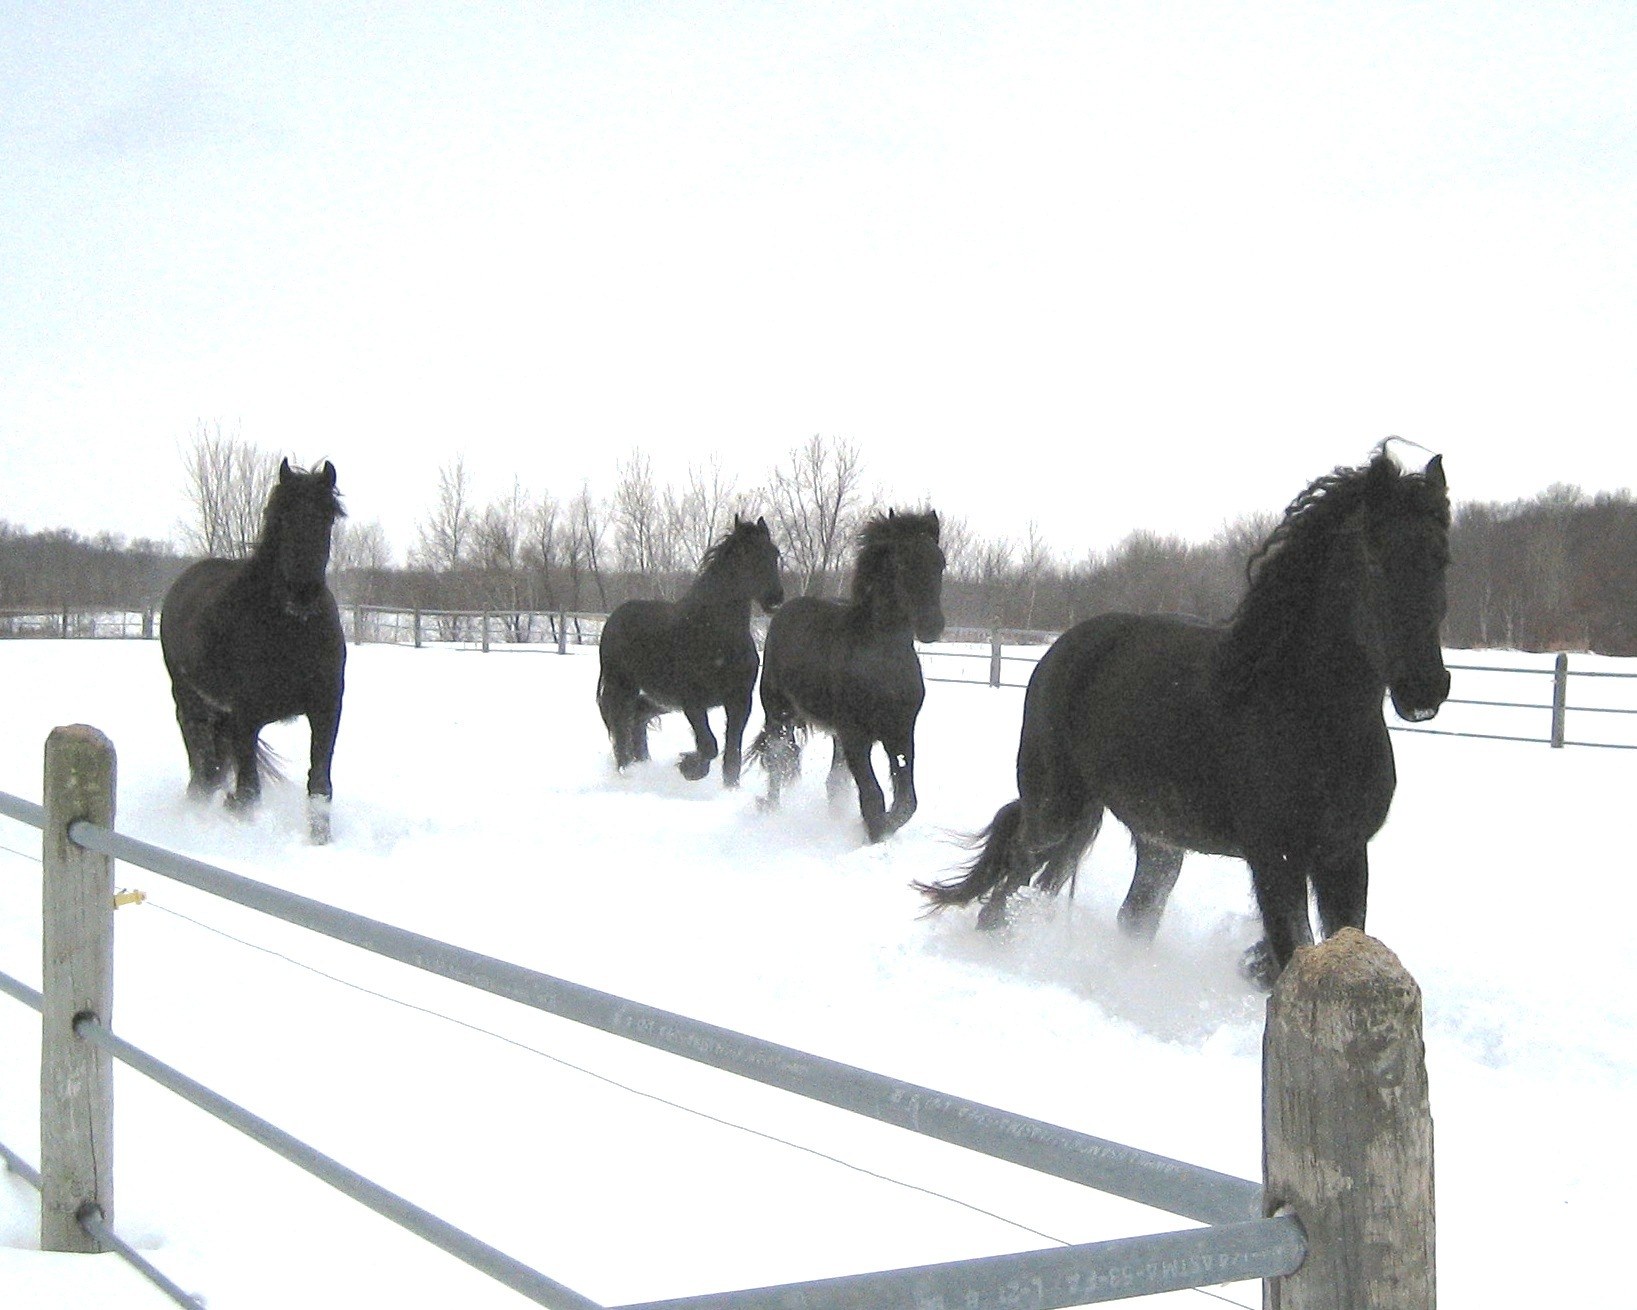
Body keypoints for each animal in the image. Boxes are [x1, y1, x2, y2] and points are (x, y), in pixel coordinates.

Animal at [160, 459, 347, 844]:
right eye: (281, 516)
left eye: (328, 516)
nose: (302, 593)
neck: (291, 631)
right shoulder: (246, 718)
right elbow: (248, 792)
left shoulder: (326, 710)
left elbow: (320, 788)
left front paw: (319, 842)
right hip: (192, 704)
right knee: (203, 768)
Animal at [597, 515, 785, 786]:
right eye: (744, 553)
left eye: (774, 553)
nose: (775, 599)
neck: (715, 636)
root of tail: (614, 619)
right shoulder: (693, 702)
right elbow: (709, 746)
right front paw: (689, 767)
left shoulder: (740, 701)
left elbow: (732, 757)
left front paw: (728, 788)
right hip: (622, 689)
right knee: (622, 731)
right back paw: (628, 772)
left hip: (659, 699)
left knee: (638, 719)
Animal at [753, 508, 946, 843]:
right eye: (900, 563)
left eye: (940, 563)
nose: (931, 625)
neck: (882, 665)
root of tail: (785, 610)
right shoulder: (856, 735)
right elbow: (872, 796)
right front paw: (874, 832)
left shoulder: (900, 733)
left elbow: (906, 801)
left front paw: (882, 828)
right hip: (778, 712)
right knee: (778, 761)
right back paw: (771, 809)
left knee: (832, 781)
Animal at [919, 445, 1451, 986]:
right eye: (1374, 558)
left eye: (1441, 559)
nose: (1425, 689)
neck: (1307, 713)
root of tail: (1061, 650)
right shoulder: (1276, 859)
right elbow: (1290, 951)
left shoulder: (1344, 855)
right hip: (1056, 810)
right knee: (1009, 884)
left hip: (1157, 838)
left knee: (1130, 914)